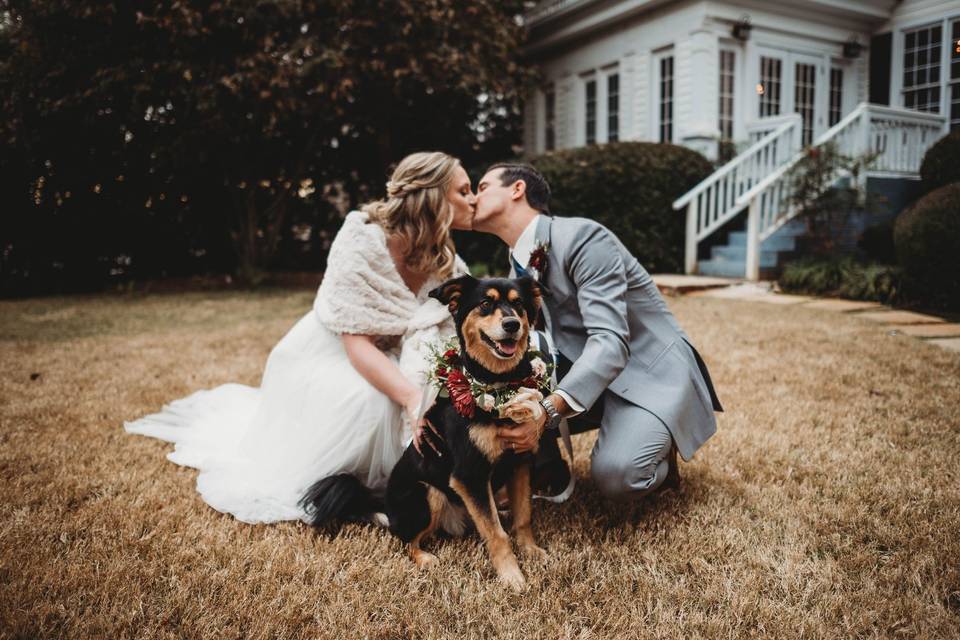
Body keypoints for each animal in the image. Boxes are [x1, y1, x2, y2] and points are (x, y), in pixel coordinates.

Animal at [304, 276, 552, 592]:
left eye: (518, 303)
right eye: (486, 303)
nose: (512, 324)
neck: (496, 384)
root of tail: (385, 504)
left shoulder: (519, 462)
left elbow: (523, 516)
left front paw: (531, 551)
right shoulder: (469, 475)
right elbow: (496, 533)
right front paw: (512, 576)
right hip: (428, 492)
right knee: (404, 540)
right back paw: (425, 558)